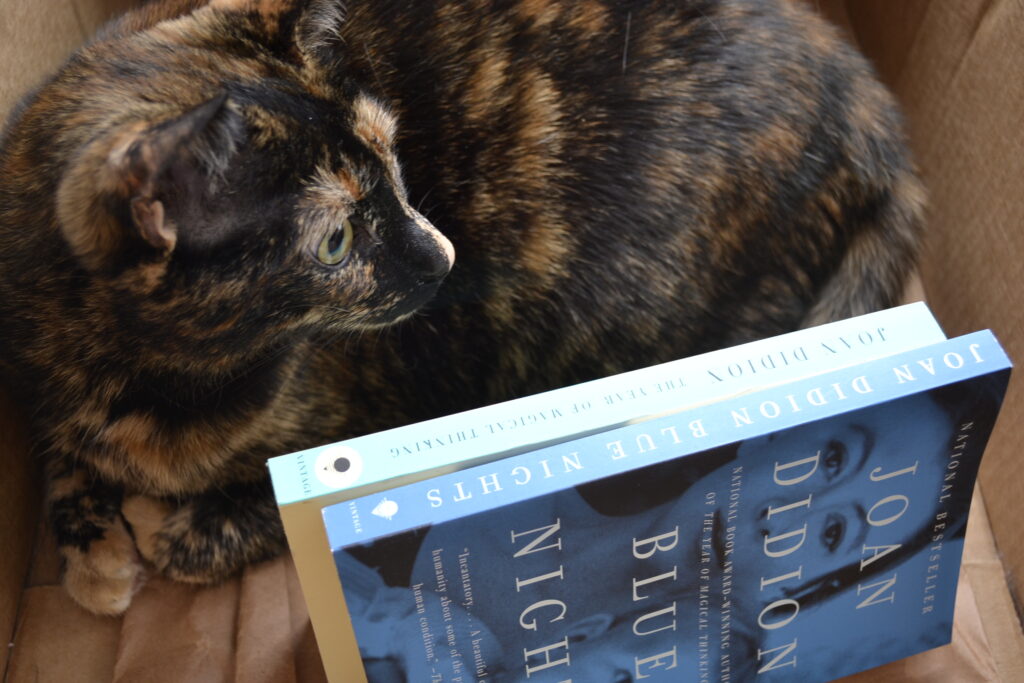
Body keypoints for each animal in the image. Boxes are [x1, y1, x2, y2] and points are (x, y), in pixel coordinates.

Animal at [0, 0, 921, 614]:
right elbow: (64, 456)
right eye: (335, 241)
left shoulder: (383, 404)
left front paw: (164, 536)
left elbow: (223, 523)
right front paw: (95, 550)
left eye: (392, 157)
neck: (146, 375)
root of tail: (869, 106)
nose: (443, 256)